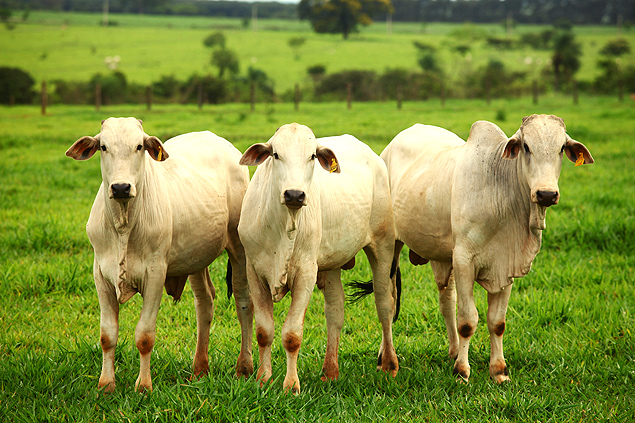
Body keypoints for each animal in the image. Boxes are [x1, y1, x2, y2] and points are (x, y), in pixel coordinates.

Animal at [65, 117, 253, 394]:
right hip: (195, 257)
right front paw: (106, 384)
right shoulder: (100, 274)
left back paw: (244, 368)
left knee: (243, 301)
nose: (121, 187)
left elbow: (144, 336)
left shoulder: (155, 274)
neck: (124, 223)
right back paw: (199, 369)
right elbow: (107, 335)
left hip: (238, 248)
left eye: (139, 146)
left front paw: (143, 386)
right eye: (103, 147)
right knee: (205, 303)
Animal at [236, 124, 400, 396]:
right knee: (335, 310)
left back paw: (388, 364)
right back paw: (330, 371)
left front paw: (291, 386)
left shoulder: (306, 273)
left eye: (312, 156)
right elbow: (264, 331)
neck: (284, 225)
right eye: (276, 154)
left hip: (383, 246)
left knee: (384, 305)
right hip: (332, 265)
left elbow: (292, 335)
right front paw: (263, 379)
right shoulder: (254, 271)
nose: (294, 194)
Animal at [382, 115, 596, 384]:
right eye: (526, 147)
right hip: (392, 247)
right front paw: (462, 372)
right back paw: (387, 359)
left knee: (446, 301)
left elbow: (497, 322)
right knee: (389, 302)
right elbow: (467, 321)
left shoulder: (506, 265)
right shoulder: (464, 261)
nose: (546, 194)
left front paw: (499, 370)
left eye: (560, 148)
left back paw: (454, 351)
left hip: (443, 256)